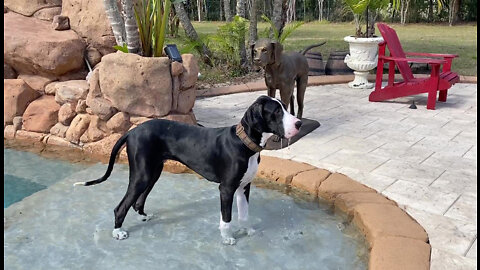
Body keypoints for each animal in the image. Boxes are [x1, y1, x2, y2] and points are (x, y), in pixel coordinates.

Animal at [74, 96, 300, 246]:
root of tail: (132, 131)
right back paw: (118, 232)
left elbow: (244, 214)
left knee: (138, 201)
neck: (244, 143)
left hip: (153, 172)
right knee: (121, 206)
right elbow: (226, 218)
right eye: (276, 112)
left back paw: (143, 217)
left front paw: (248, 230)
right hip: (142, 175)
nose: (299, 123)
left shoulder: (244, 186)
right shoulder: (226, 188)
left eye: (285, 107)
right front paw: (227, 238)